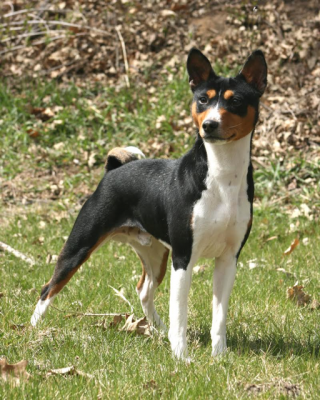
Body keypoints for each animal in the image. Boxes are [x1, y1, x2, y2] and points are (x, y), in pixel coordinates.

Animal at [31, 48, 268, 360]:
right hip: (80, 245)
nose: (209, 125)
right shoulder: (183, 257)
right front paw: (181, 357)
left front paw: (219, 356)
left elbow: (219, 316)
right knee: (48, 288)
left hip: (155, 255)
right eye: (203, 100)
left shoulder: (228, 258)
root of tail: (113, 170)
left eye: (236, 101)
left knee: (143, 290)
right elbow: (180, 313)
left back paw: (158, 331)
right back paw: (31, 330)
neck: (223, 177)